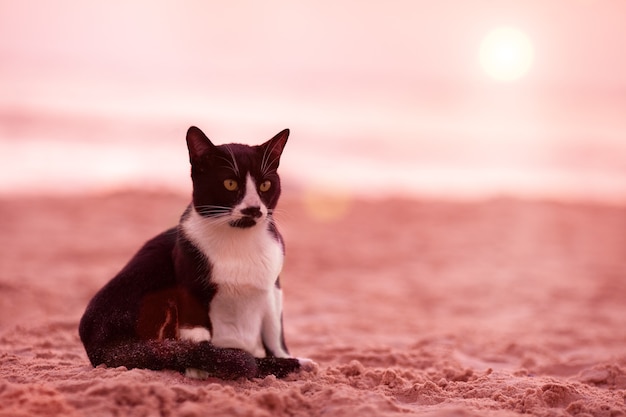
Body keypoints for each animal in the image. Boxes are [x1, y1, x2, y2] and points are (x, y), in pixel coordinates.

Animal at [78, 125, 312, 378]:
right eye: (230, 184)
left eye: (265, 185)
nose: (253, 209)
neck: (238, 239)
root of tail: (97, 346)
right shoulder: (190, 285)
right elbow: (197, 335)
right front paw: (203, 368)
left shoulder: (273, 287)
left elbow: (275, 332)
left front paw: (284, 357)